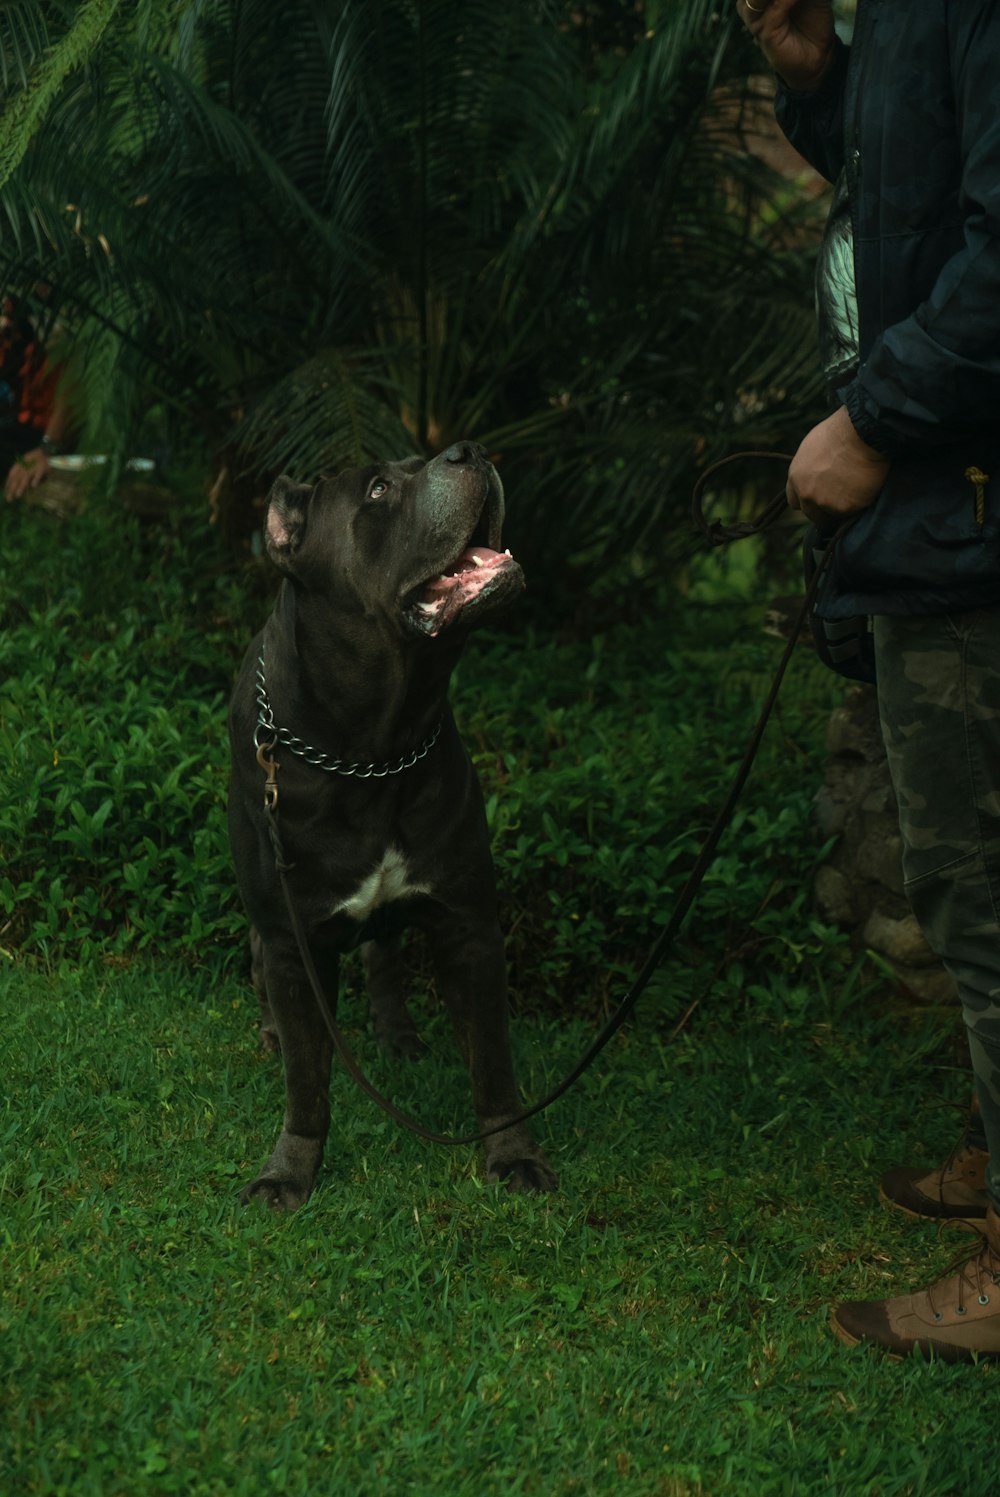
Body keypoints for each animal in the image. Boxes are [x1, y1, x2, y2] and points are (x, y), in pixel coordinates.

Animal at [226, 437, 559, 1209]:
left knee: (383, 954)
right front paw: (289, 1171)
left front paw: (513, 1156)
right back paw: (271, 1030)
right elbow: (308, 1084)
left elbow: (494, 1066)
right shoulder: (293, 941)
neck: (372, 745)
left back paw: (398, 1033)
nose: (469, 448)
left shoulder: (469, 924)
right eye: (378, 490)